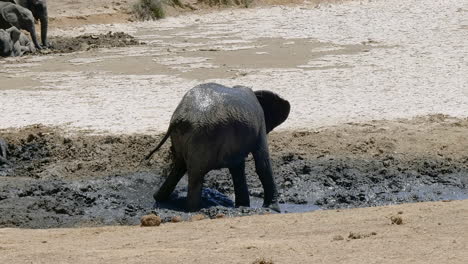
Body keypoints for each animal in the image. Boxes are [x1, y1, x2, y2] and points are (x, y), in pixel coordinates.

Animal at [144, 83, 290, 212]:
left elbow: (237, 167)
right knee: (195, 175)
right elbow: (262, 164)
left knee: (179, 167)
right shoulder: (260, 123)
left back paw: (160, 199)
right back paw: (193, 209)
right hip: (202, 138)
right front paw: (273, 210)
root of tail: (178, 119)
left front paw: (243, 206)